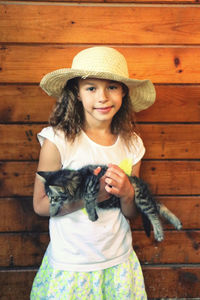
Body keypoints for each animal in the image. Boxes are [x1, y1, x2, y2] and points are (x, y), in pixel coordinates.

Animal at [37, 164, 181, 241]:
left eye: (53, 197)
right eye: (48, 197)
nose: (50, 200)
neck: (80, 178)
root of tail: (135, 179)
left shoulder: (93, 184)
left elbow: (88, 199)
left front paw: (91, 215)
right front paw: (52, 210)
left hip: (141, 197)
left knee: (153, 212)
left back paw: (159, 232)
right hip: (142, 198)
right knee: (157, 205)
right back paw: (176, 222)